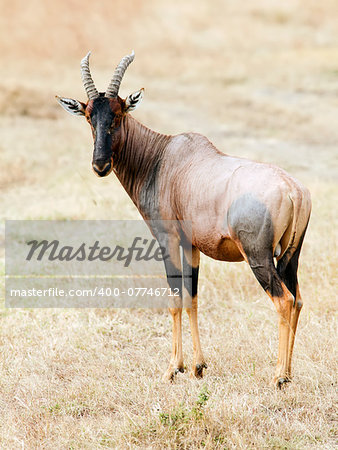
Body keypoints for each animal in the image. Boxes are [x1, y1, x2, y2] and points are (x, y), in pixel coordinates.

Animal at [56, 51, 312, 386]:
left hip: (258, 256)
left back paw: (278, 377)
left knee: (283, 301)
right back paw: (289, 374)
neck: (162, 157)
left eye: (119, 113)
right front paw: (198, 367)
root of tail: (293, 190)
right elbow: (193, 298)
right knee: (297, 300)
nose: (100, 165)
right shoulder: (193, 245)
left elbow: (175, 298)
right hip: (290, 257)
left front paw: (172, 369)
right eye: (88, 116)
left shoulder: (168, 239)